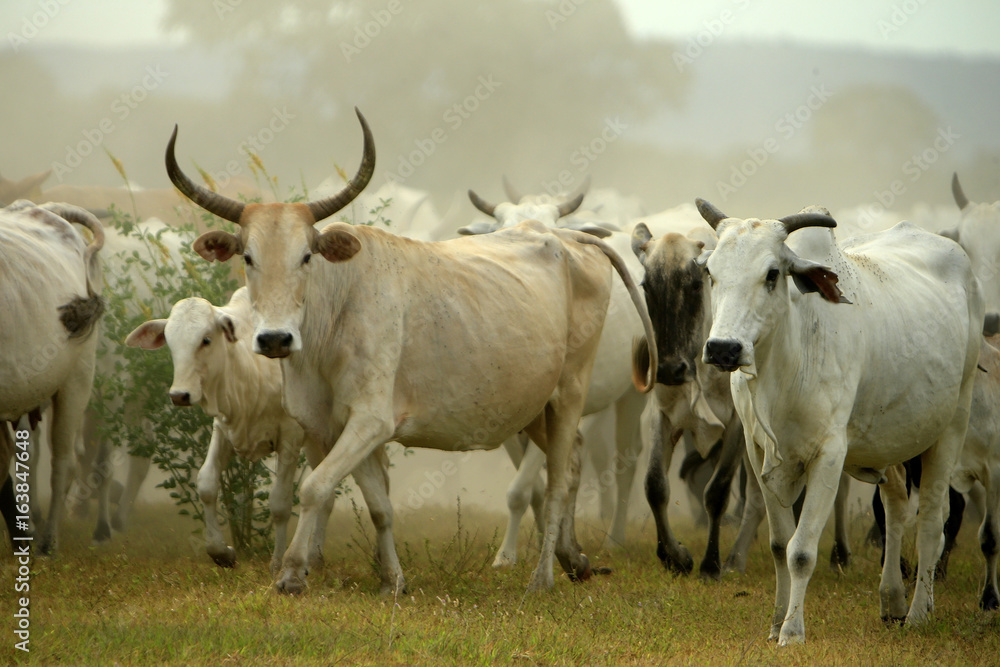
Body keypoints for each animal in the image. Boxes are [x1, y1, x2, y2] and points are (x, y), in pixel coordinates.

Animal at [121, 290, 394, 580]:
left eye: (206, 339)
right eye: (171, 343)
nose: (179, 395)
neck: (248, 367)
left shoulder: (290, 435)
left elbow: (280, 503)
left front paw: (277, 563)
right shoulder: (223, 428)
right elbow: (207, 484)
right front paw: (222, 552)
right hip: (316, 440)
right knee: (329, 495)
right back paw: (316, 557)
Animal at [164, 109, 656, 596]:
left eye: (306, 256)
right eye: (247, 257)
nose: (274, 339)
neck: (333, 317)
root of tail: (563, 237)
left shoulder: (369, 420)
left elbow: (314, 489)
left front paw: (291, 573)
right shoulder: (333, 426)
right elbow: (378, 504)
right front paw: (392, 580)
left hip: (571, 392)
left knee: (557, 481)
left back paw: (543, 577)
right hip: (535, 407)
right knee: (571, 461)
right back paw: (574, 558)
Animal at [696, 200, 984, 648]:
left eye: (772, 274)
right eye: (711, 272)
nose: (723, 348)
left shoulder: (829, 455)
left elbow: (801, 551)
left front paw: (792, 632)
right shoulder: (759, 453)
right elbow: (778, 544)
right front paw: (776, 622)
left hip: (953, 422)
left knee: (931, 523)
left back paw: (919, 613)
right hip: (890, 437)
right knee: (896, 509)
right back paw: (891, 600)